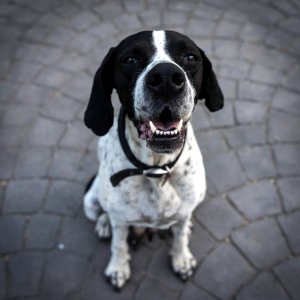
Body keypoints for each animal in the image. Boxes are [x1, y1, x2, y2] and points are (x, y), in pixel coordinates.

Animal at [82, 30, 223, 290]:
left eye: (190, 57)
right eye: (130, 59)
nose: (166, 77)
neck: (155, 168)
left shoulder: (185, 210)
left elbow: (179, 237)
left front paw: (181, 259)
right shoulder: (120, 221)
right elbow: (118, 244)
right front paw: (117, 269)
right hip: (90, 200)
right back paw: (104, 223)